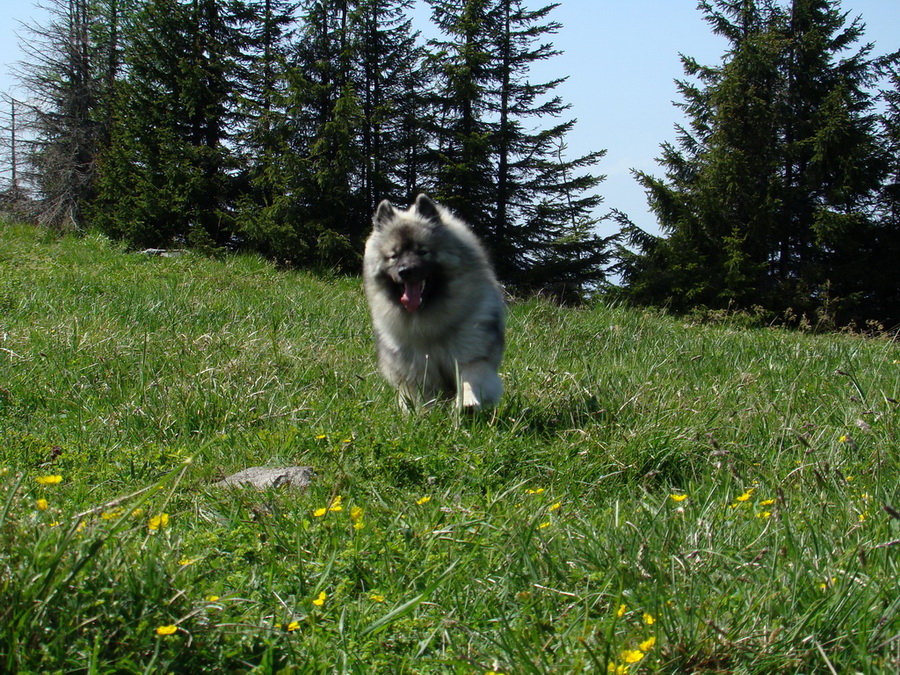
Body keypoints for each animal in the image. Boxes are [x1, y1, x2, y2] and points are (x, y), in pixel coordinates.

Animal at [364, 193, 506, 410]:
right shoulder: (417, 372)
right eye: (394, 256)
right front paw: (421, 414)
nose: (405, 271)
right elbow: (420, 399)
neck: (431, 325)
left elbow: (469, 378)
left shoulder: (472, 355)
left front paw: (467, 403)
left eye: (422, 251)